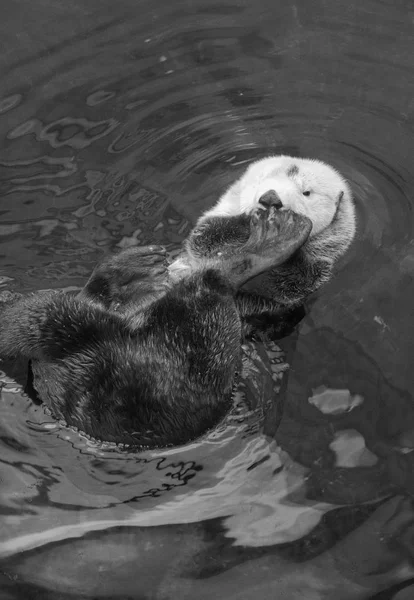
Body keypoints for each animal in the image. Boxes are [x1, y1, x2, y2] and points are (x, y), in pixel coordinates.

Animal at [198, 155, 356, 308]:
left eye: (306, 192)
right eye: (260, 182)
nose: (270, 197)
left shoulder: (323, 254)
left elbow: (291, 286)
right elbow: (204, 240)